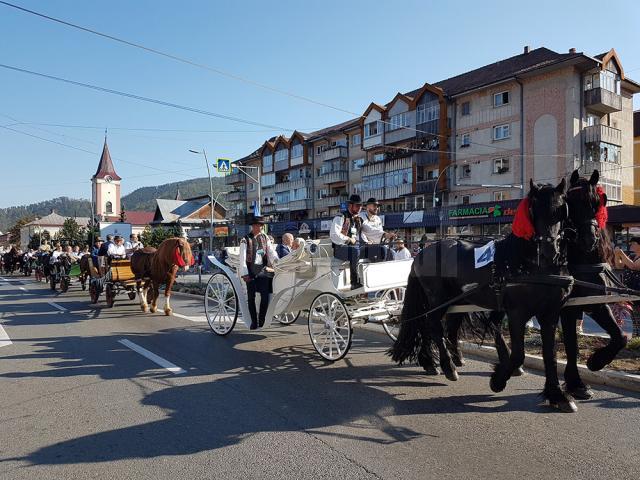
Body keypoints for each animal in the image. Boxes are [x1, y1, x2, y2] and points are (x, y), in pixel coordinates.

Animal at [390, 180, 576, 412]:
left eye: (561, 210)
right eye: (534, 210)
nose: (549, 251)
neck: (530, 266)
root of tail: (423, 253)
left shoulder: (550, 313)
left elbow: (550, 355)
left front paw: (558, 395)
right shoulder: (517, 313)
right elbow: (518, 354)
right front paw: (497, 381)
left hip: (456, 300)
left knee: (434, 327)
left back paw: (431, 363)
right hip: (437, 299)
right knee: (433, 326)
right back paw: (448, 367)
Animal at [564, 169, 628, 398]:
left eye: (596, 202)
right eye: (569, 201)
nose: (588, 239)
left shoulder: (596, 304)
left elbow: (620, 337)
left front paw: (596, 362)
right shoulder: (567, 310)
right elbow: (571, 345)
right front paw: (575, 383)